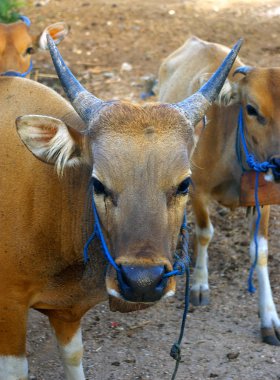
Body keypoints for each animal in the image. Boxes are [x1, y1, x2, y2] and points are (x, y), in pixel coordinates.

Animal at [0, 34, 241, 378]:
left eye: (184, 184)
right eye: (97, 183)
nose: (143, 282)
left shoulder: (67, 311)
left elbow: (73, 357)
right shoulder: (9, 308)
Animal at [159, 37, 280, 346]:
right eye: (251, 109)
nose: (279, 164)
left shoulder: (265, 200)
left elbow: (260, 251)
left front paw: (269, 318)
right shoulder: (198, 190)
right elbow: (205, 233)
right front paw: (200, 284)